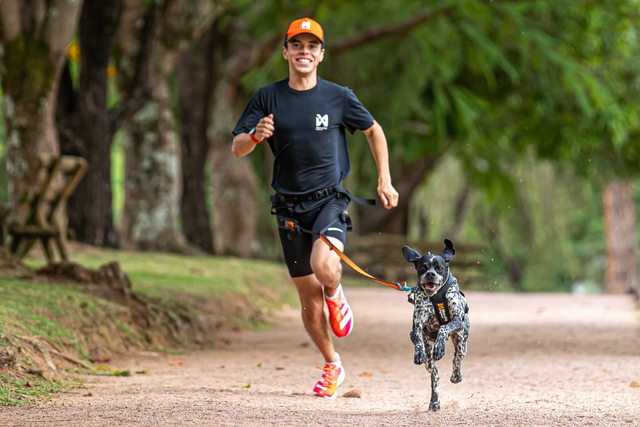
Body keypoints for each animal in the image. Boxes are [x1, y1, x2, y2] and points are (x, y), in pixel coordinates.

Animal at [404, 239, 470, 412]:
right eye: (423, 267)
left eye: (439, 267)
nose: (430, 274)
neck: (436, 296)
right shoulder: (417, 325)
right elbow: (416, 337)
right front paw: (418, 352)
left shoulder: (457, 320)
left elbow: (444, 327)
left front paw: (440, 347)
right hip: (429, 362)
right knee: (435, 376)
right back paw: (434, 401)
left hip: (461, 342)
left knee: (457, 357)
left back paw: (456, 376)